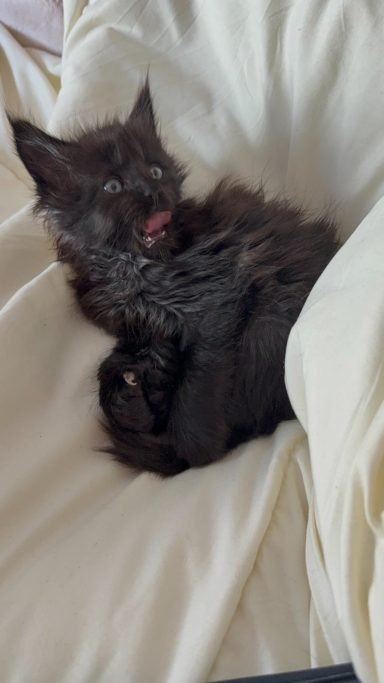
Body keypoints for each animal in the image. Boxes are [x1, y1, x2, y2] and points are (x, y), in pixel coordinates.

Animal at [9, 80, 340, 476]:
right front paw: (136, 383)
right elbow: (143, 358)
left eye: (155, 171)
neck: (128, 270)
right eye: (113, 187)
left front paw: (195, 445)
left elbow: (196, 383)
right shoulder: (135, 323)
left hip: (268, 324)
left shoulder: (216, 300)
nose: (153, 191)